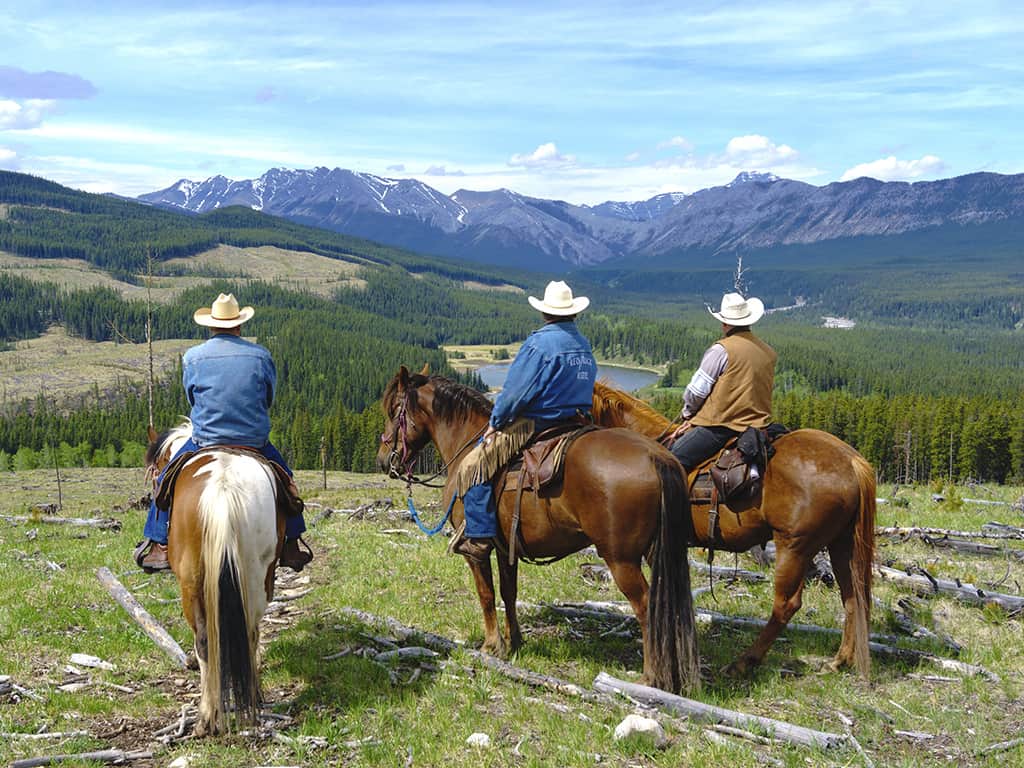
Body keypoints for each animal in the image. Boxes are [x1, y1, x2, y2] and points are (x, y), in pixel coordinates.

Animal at [145, 423, 284, 737]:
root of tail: (223, 488)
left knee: (206, 641)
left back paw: (206, 718)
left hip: (192, 582)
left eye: (156, 470)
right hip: (255, 574)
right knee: (248, 631)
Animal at [380, 366, 700, 696]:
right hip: (659, 552)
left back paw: (650, 678)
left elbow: (486, 594)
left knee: (646, 606)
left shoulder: (475, 550)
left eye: (393, 410)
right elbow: (508, 593)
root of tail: (657, 456)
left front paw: (492, 645)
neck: (466, 444)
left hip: (620, 559)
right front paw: (515, 642)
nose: (384, 460)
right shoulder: (506, 548)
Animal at [589, 382, 876, 675]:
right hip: (842, 544)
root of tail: (852, 461)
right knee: (854, 597)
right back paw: (840, 660)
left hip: (794, 547)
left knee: (787, 604)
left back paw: (744, 662)